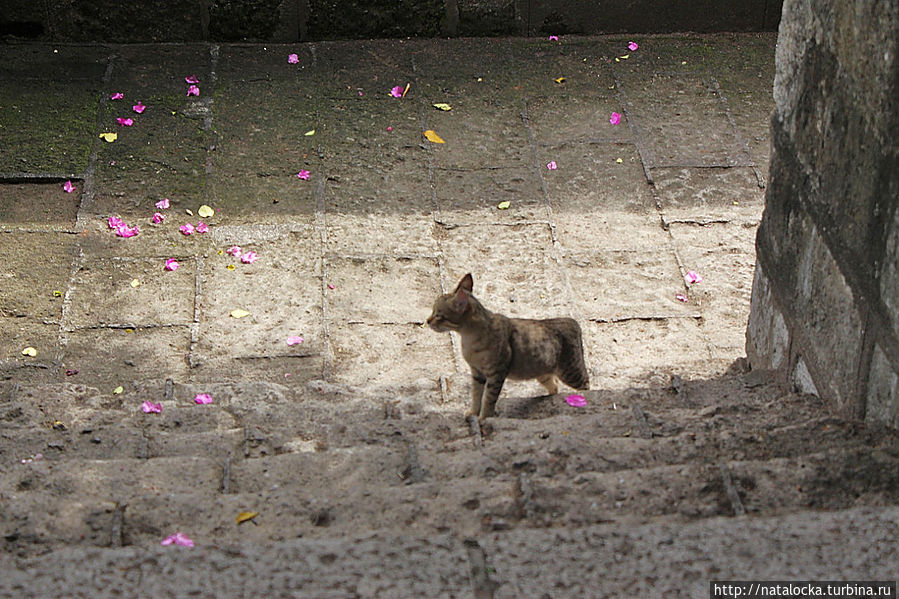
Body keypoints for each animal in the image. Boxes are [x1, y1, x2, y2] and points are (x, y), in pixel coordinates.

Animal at [428, 274, 592, 422]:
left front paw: (483, 418)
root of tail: (572, 322)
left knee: (586, 385)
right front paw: (473, 412)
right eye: (433, 312)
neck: (468, 339)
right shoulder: (477, 373)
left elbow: (488, 399)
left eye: (438, 315)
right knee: (555, 386)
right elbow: (476, 396)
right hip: (543, 373)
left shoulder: (496, 374)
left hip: (572, 373)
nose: (427, 320)